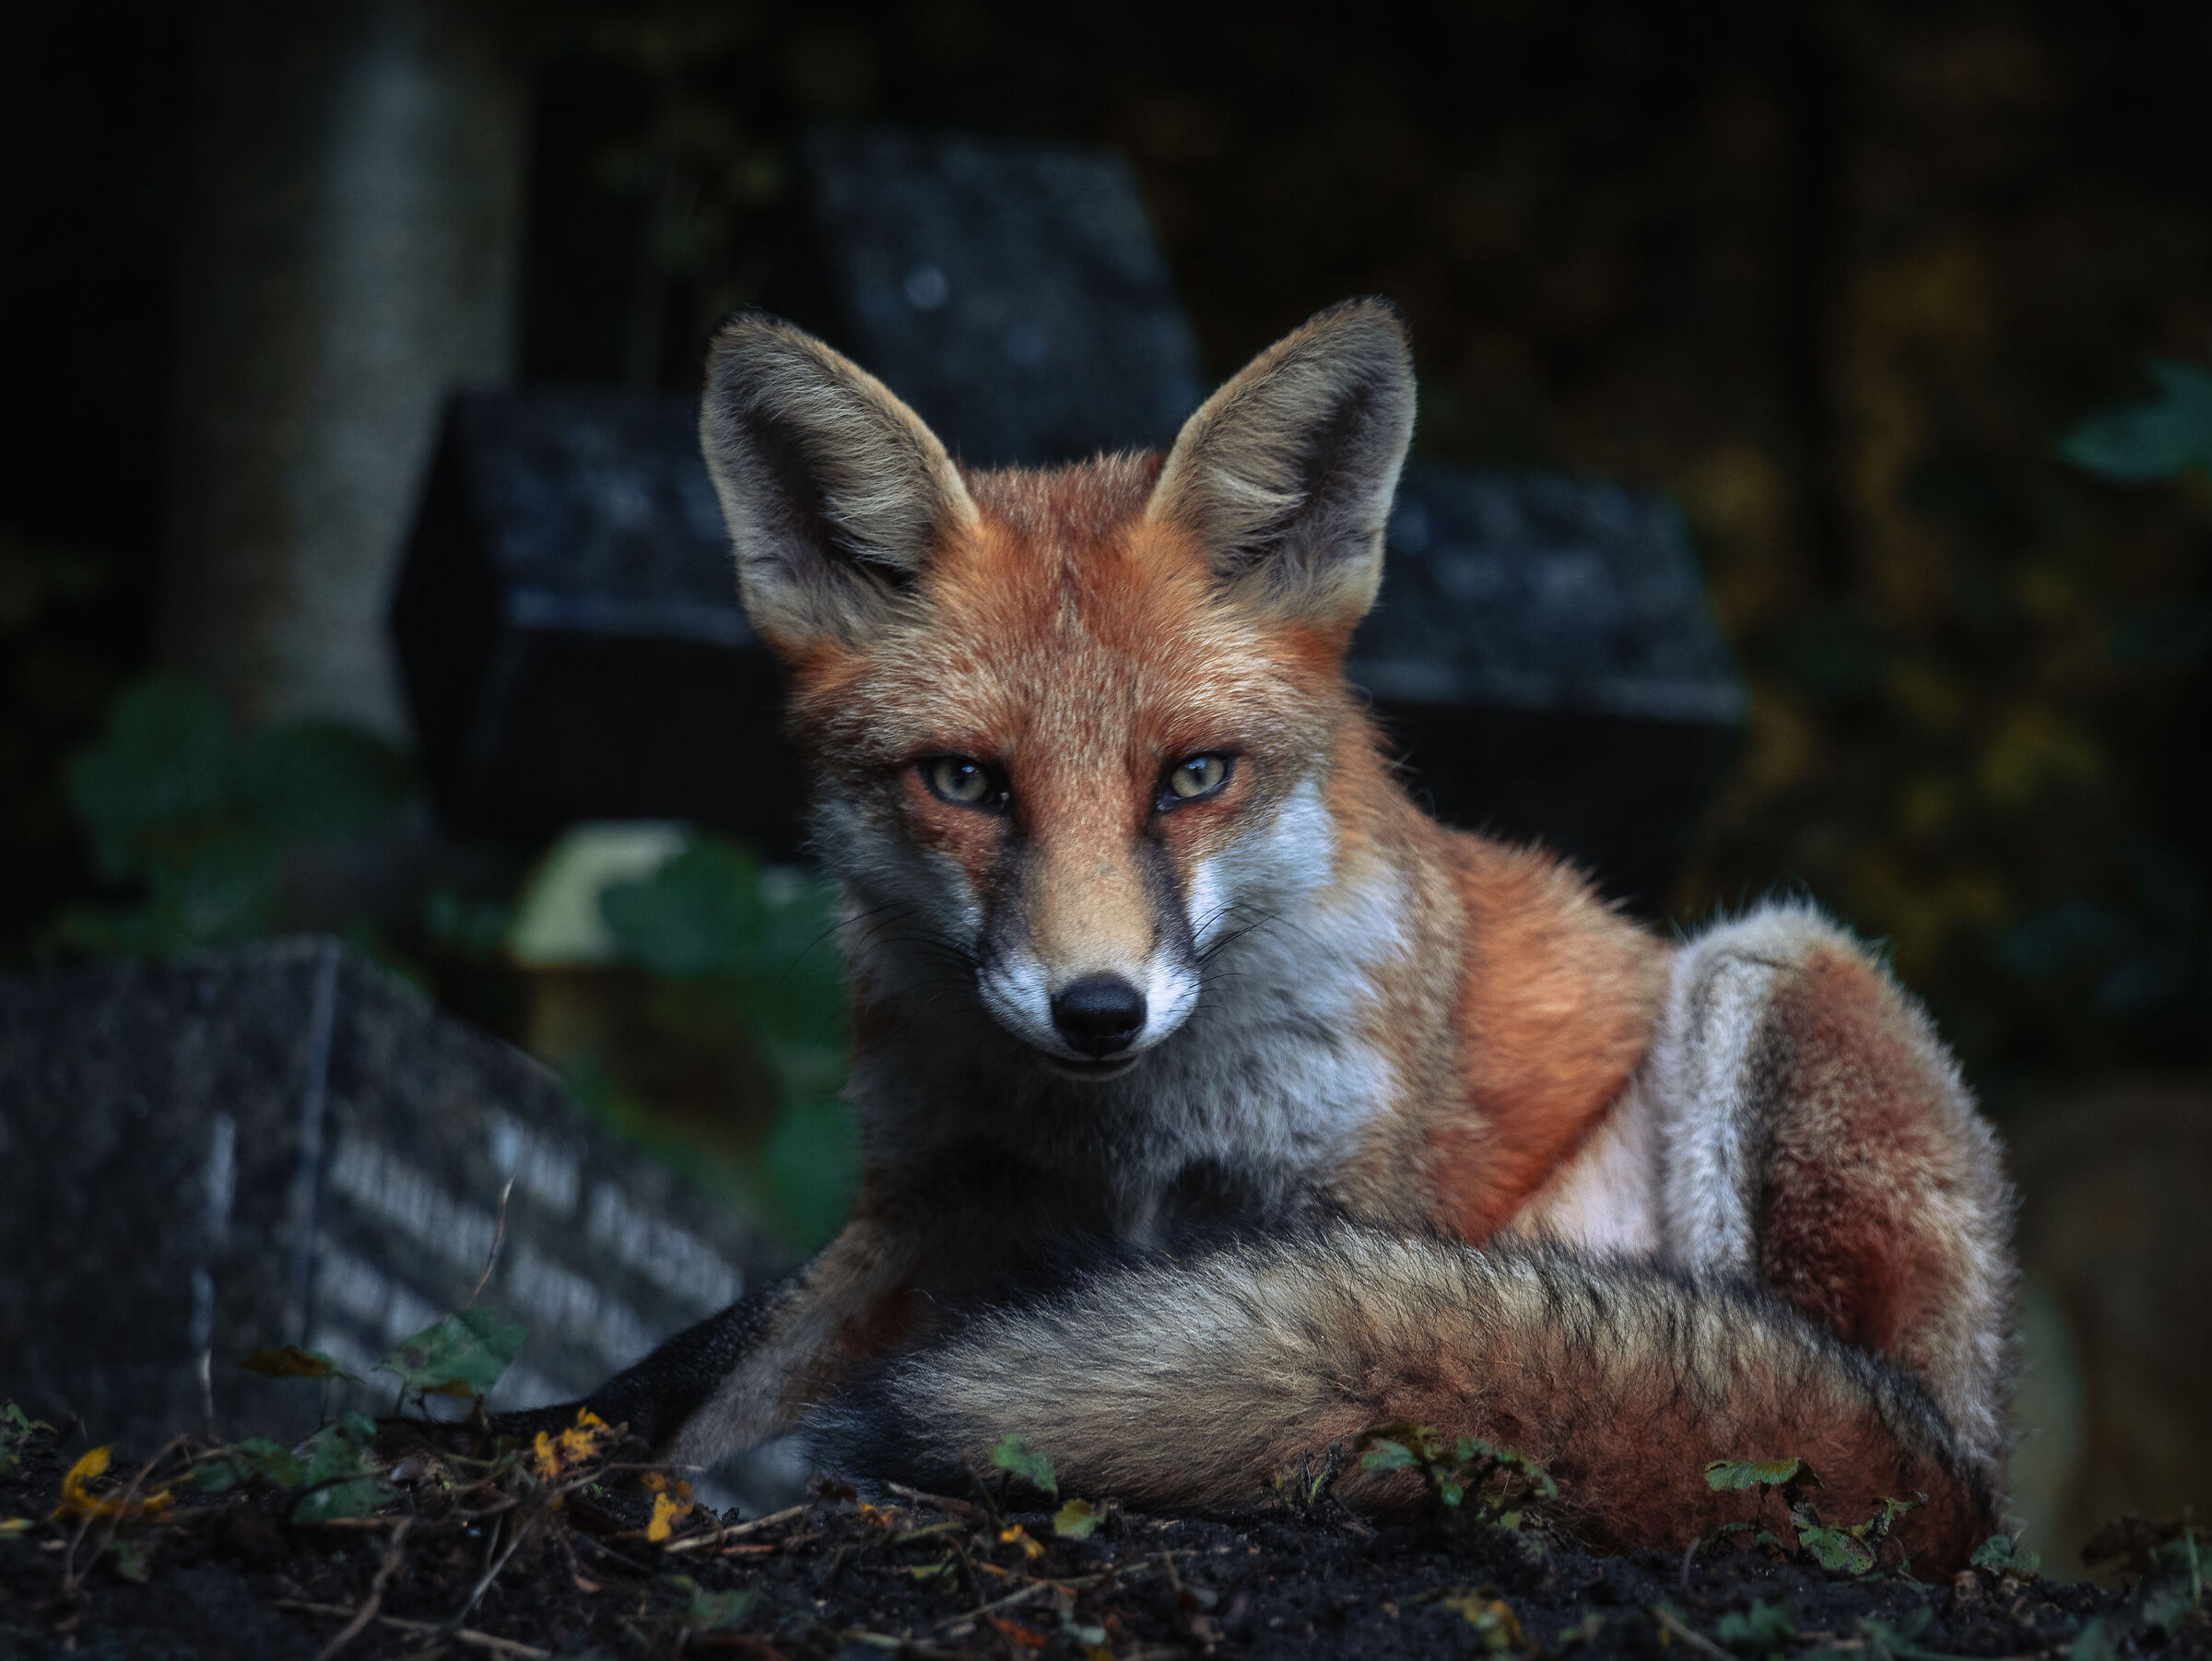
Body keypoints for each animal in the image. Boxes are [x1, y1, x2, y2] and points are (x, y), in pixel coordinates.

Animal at [534, 298, 2015, 1569]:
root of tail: (1978, 1469)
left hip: (1782, 974)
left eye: (1194, 776)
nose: (1097, 1007)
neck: (1127, 1136)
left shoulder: (1336, 1208)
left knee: (1804, 1421)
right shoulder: (933, 1199)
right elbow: (725, 1391)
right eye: (965, 781)